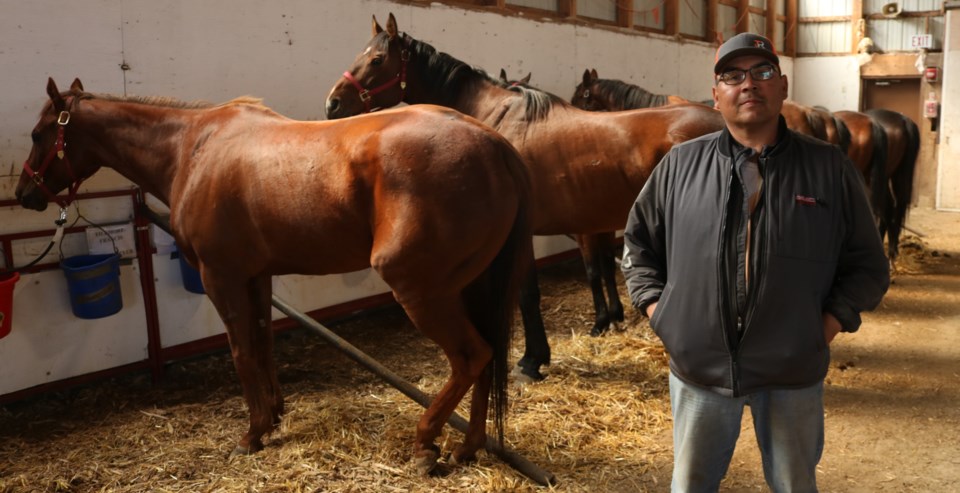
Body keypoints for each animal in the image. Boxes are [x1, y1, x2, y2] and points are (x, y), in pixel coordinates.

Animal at [16, 77, 532, 472]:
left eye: (40, 134)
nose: (24, 194)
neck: (194, 149)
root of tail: (494, 144)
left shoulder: (220, 277)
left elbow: (242, 351)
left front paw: (253, 432)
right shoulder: (257, 276)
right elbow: (263, 341)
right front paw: (275, 412)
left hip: (420, 289)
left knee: (470, 356)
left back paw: (426, 442)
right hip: (470, 285)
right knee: (487, 355)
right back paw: (468, 447)